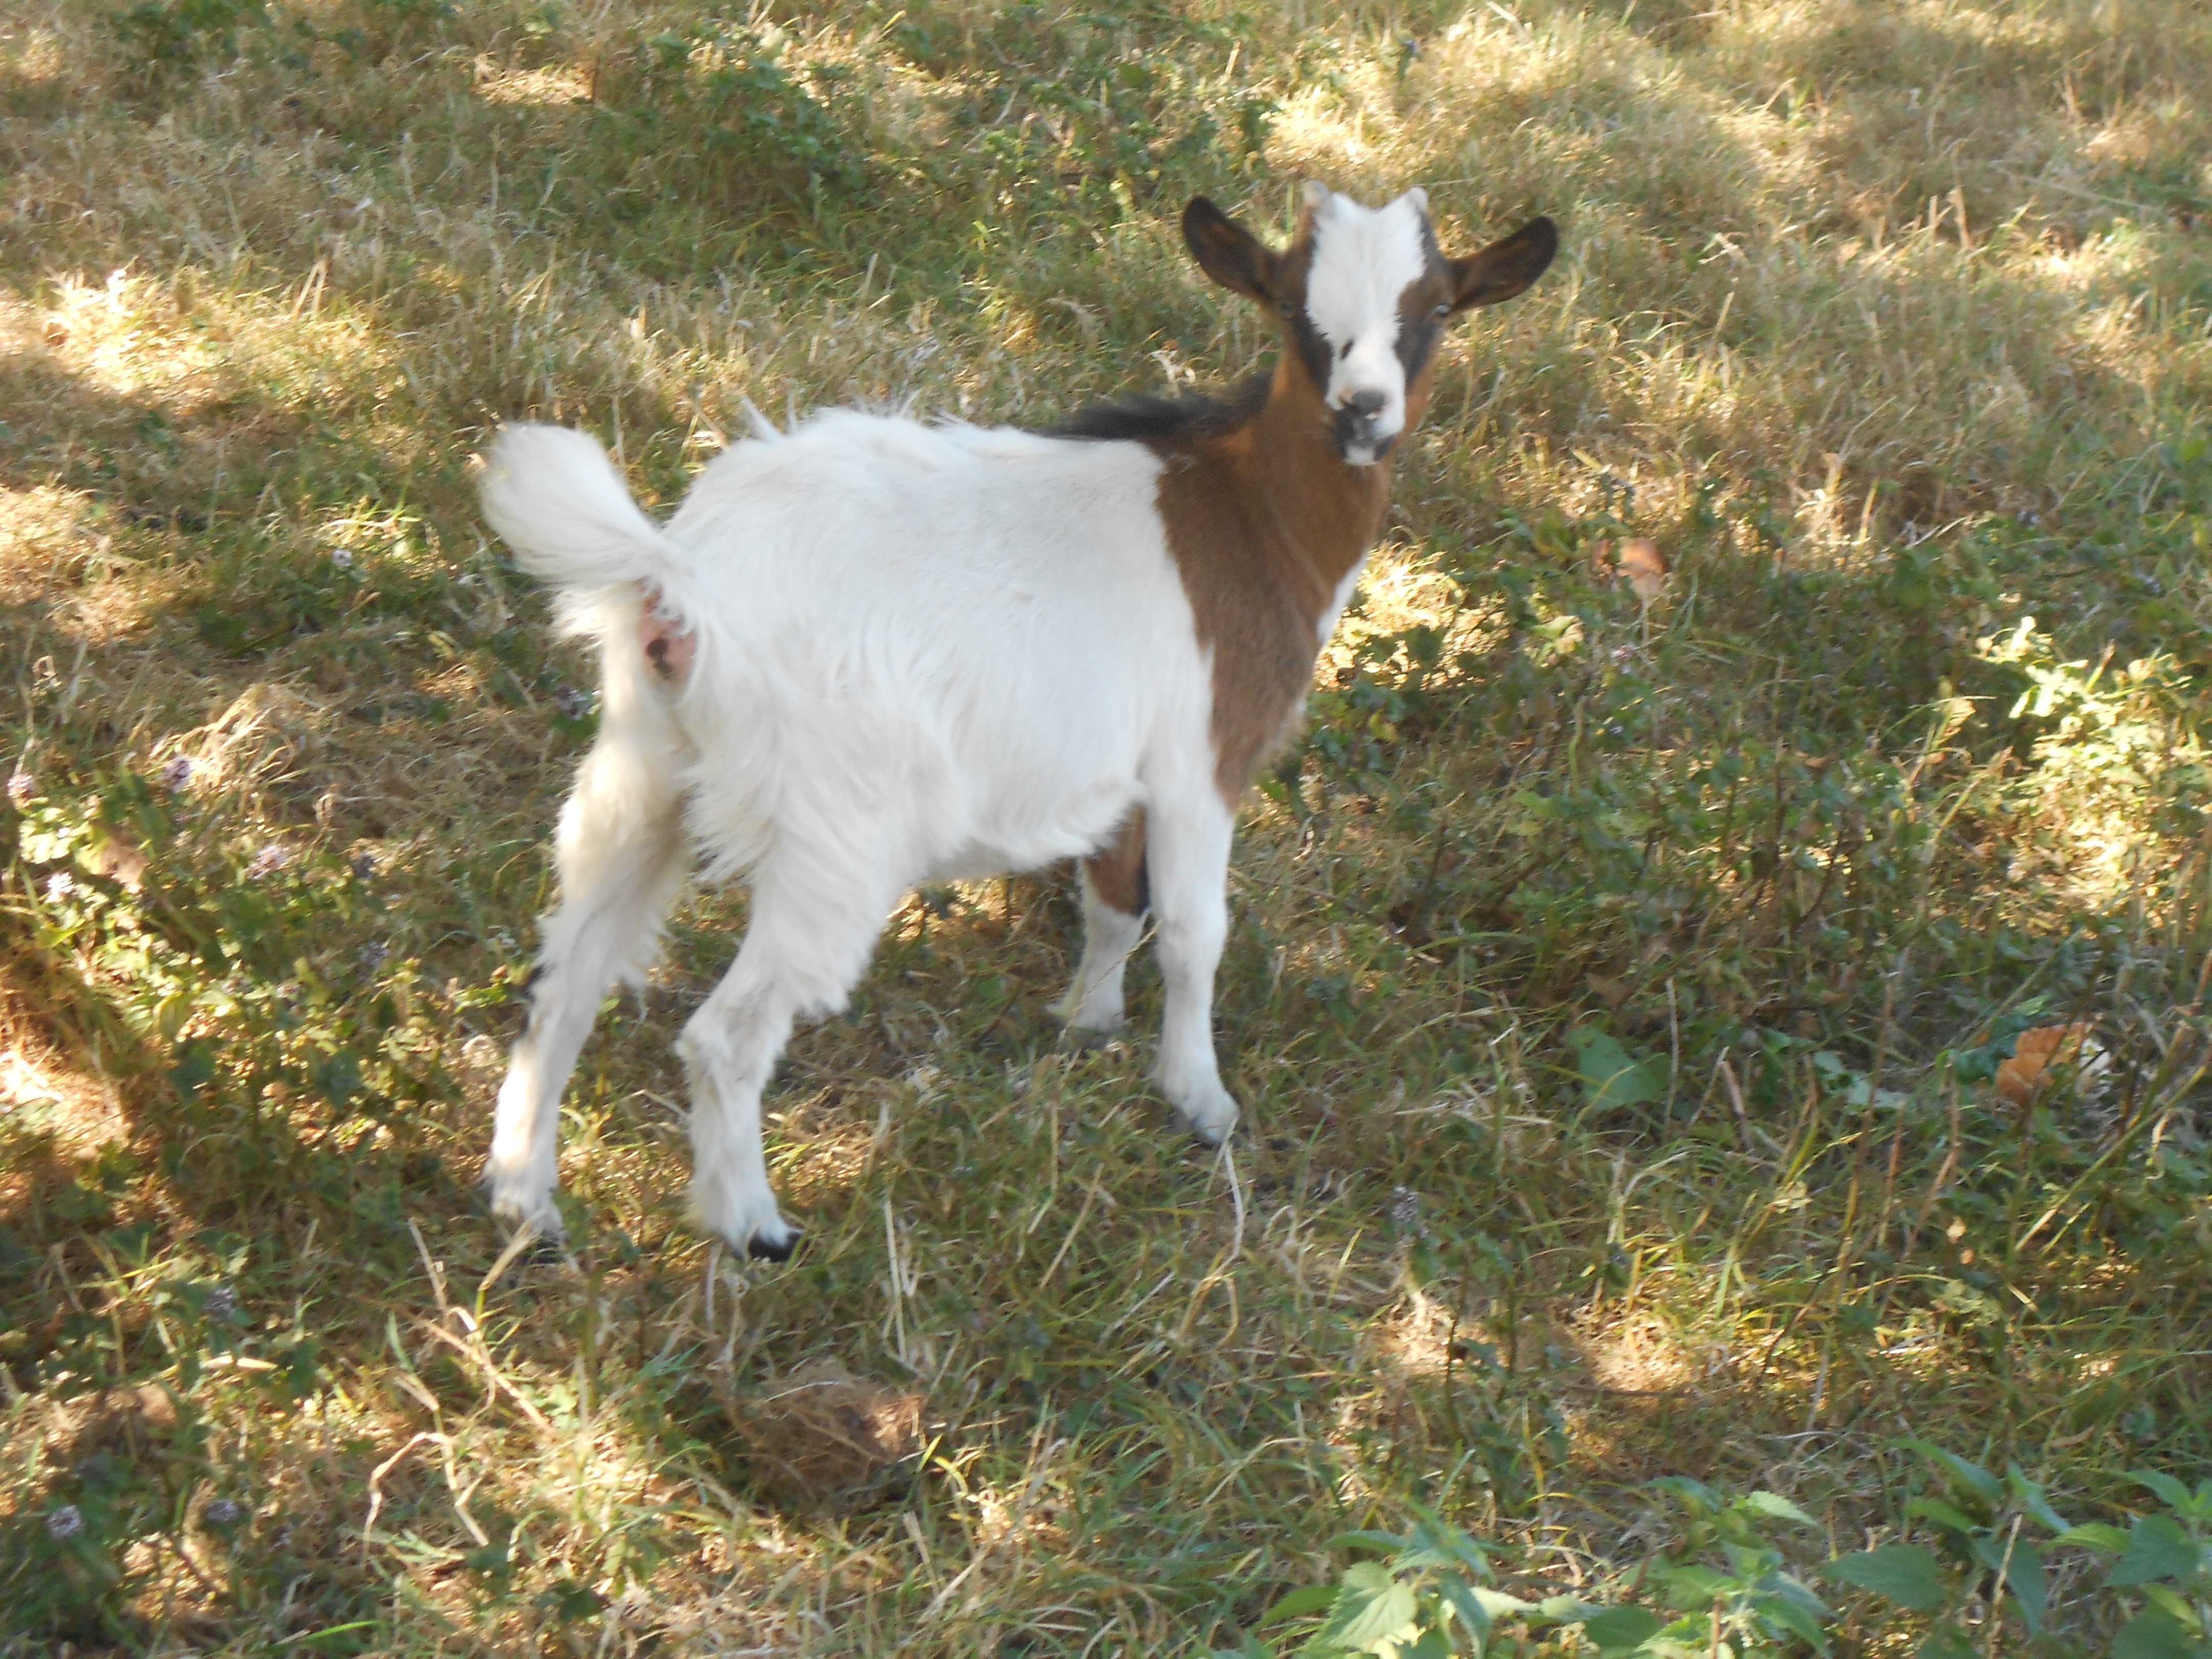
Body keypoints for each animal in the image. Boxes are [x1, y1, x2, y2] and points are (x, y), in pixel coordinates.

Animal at [478, 182, 1556, 1258]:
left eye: (1437, 308)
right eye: (1294, 305)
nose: (1363, 412)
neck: (1247, 518)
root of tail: (686, 578)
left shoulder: (1122, 768)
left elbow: (1116, 901)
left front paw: (1086, 1020)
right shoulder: (1204, 758)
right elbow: (1194, 929)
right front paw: (1198, 1098)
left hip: (641, 764)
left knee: (564, 976)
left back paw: (526, 1202)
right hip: (837, 833)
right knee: (726, 1034)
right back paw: (753, 1226)